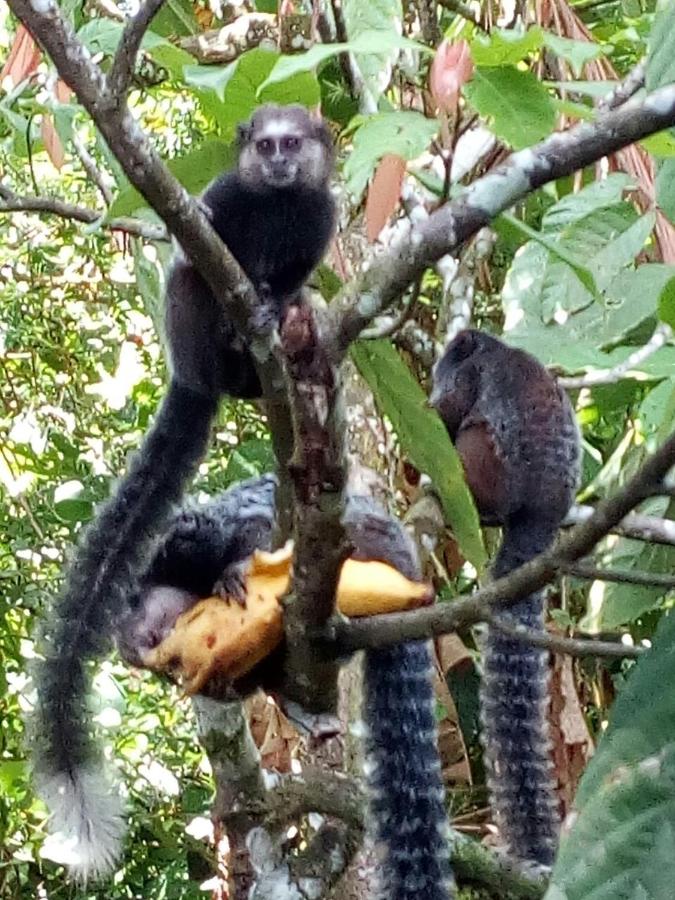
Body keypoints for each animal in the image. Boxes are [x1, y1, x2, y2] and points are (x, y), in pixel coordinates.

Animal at [31, 103, 338, 880]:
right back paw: (231, 331)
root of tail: (195, 379)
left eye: (294, 145)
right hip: (189, 334)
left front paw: (281, 295)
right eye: (266, 146)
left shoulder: (320, 214)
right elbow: (196, 236)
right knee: (190, 284)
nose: (280, 160)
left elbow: (301, 269)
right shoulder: (231, 194)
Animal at [434, 328, 580, 864]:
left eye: (447, 362)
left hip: (488, 470)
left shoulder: (470, 375)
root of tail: (543, 510)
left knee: (468, 438)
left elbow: (448, 409)